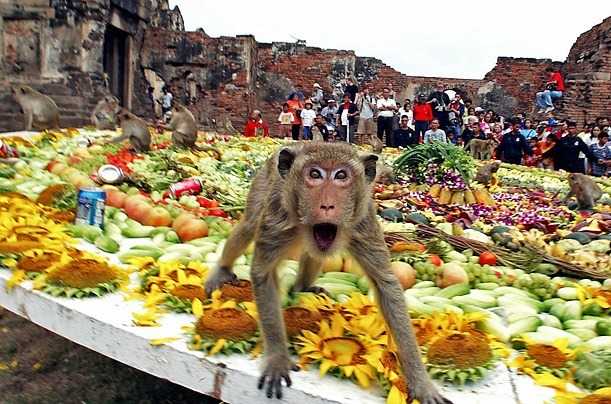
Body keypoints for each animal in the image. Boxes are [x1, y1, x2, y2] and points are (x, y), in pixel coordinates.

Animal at [206, 142, 450, 404]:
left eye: (341, 176)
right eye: (315, 174)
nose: (326, 205)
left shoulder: (363, 223)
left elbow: (386, 285)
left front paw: (421, 383)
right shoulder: (277, 217)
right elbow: (264, 274)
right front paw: (277, 358)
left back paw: (303, 287)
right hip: (263, 184)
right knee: (249, 225)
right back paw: (222, 269)